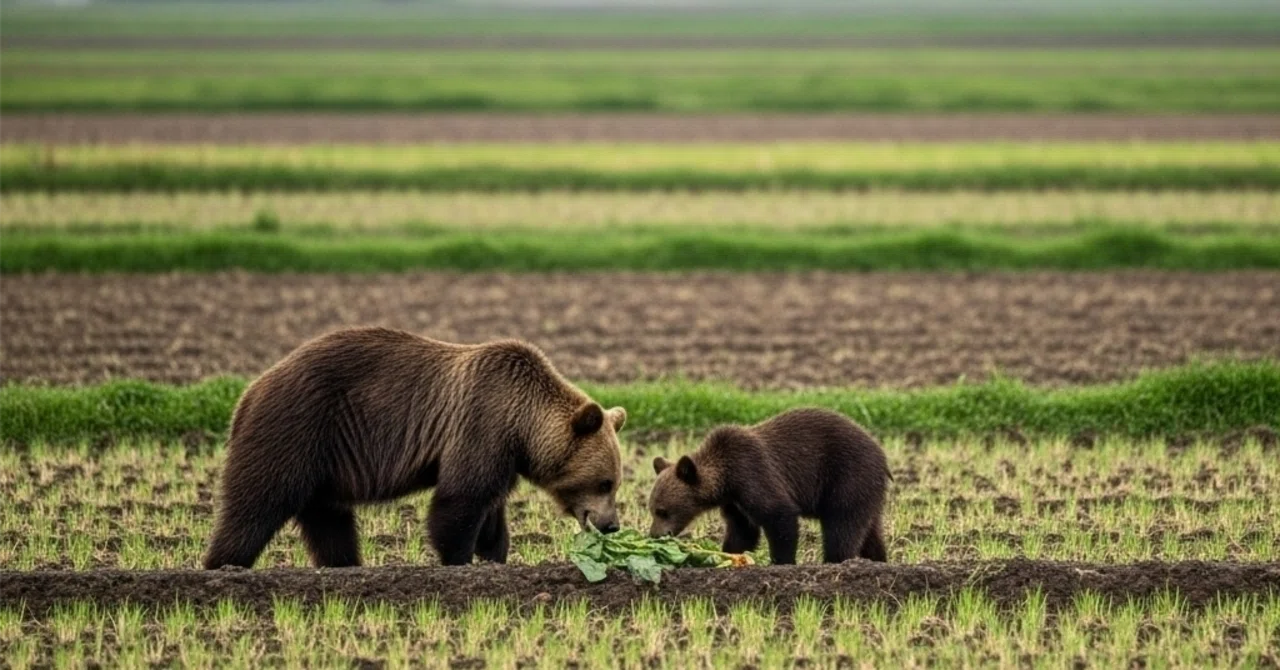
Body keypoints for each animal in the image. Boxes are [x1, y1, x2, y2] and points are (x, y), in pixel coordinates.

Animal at [203, 326, 627, 569]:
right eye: (605, 482)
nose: (611, 524)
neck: (522, 424)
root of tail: (248, 394)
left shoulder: (502, 454)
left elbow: (491, 510)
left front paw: (495, 556)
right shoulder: (480, 425)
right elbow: (458, 502)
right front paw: (459, 561)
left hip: (321, 463)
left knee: (329, 520)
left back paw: (344, 567)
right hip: (295, 429)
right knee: (258, 503)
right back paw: (224, 566)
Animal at [647, 408, 889, 565]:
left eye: (662, 511)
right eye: (652, 509)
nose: (654, 535)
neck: (727, 479)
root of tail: (881, 454)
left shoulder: (753, 474)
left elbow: (779, 516)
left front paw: (781, 561)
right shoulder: (735, 502)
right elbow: (742, 530)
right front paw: (731, 555)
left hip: (847, 477)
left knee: (841, 526)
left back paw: (837, 561)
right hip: (868, 491)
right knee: (870, 529)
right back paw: (877, 561)